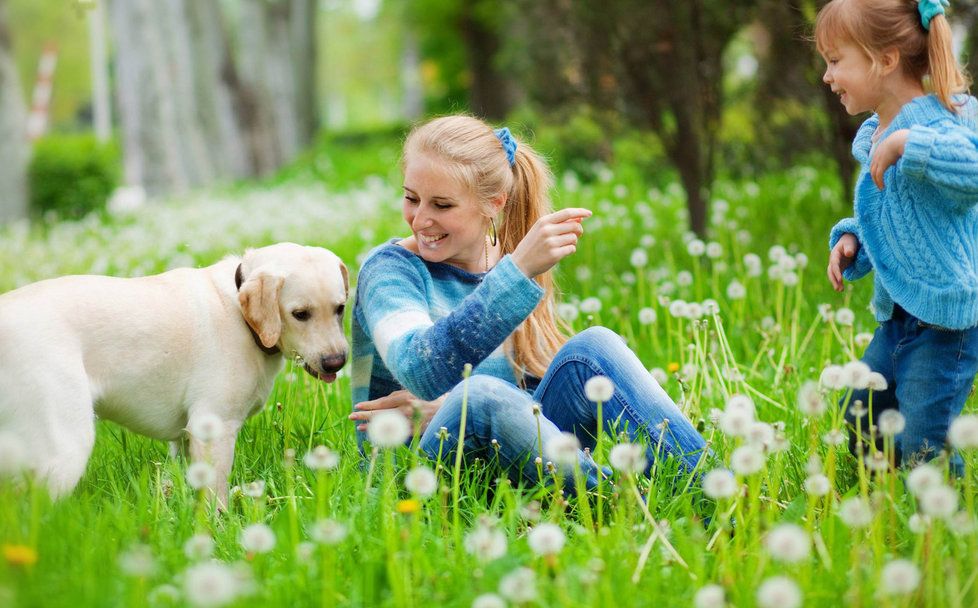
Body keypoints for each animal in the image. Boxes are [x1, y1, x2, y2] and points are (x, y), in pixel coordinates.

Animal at [0, 242, 348, 504]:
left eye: (340, 308)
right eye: (300, 314)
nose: (337, 362)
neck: (239, 311)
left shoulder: (185, 439)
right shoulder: (213, 428)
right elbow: (215, 497)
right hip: (64, 448)